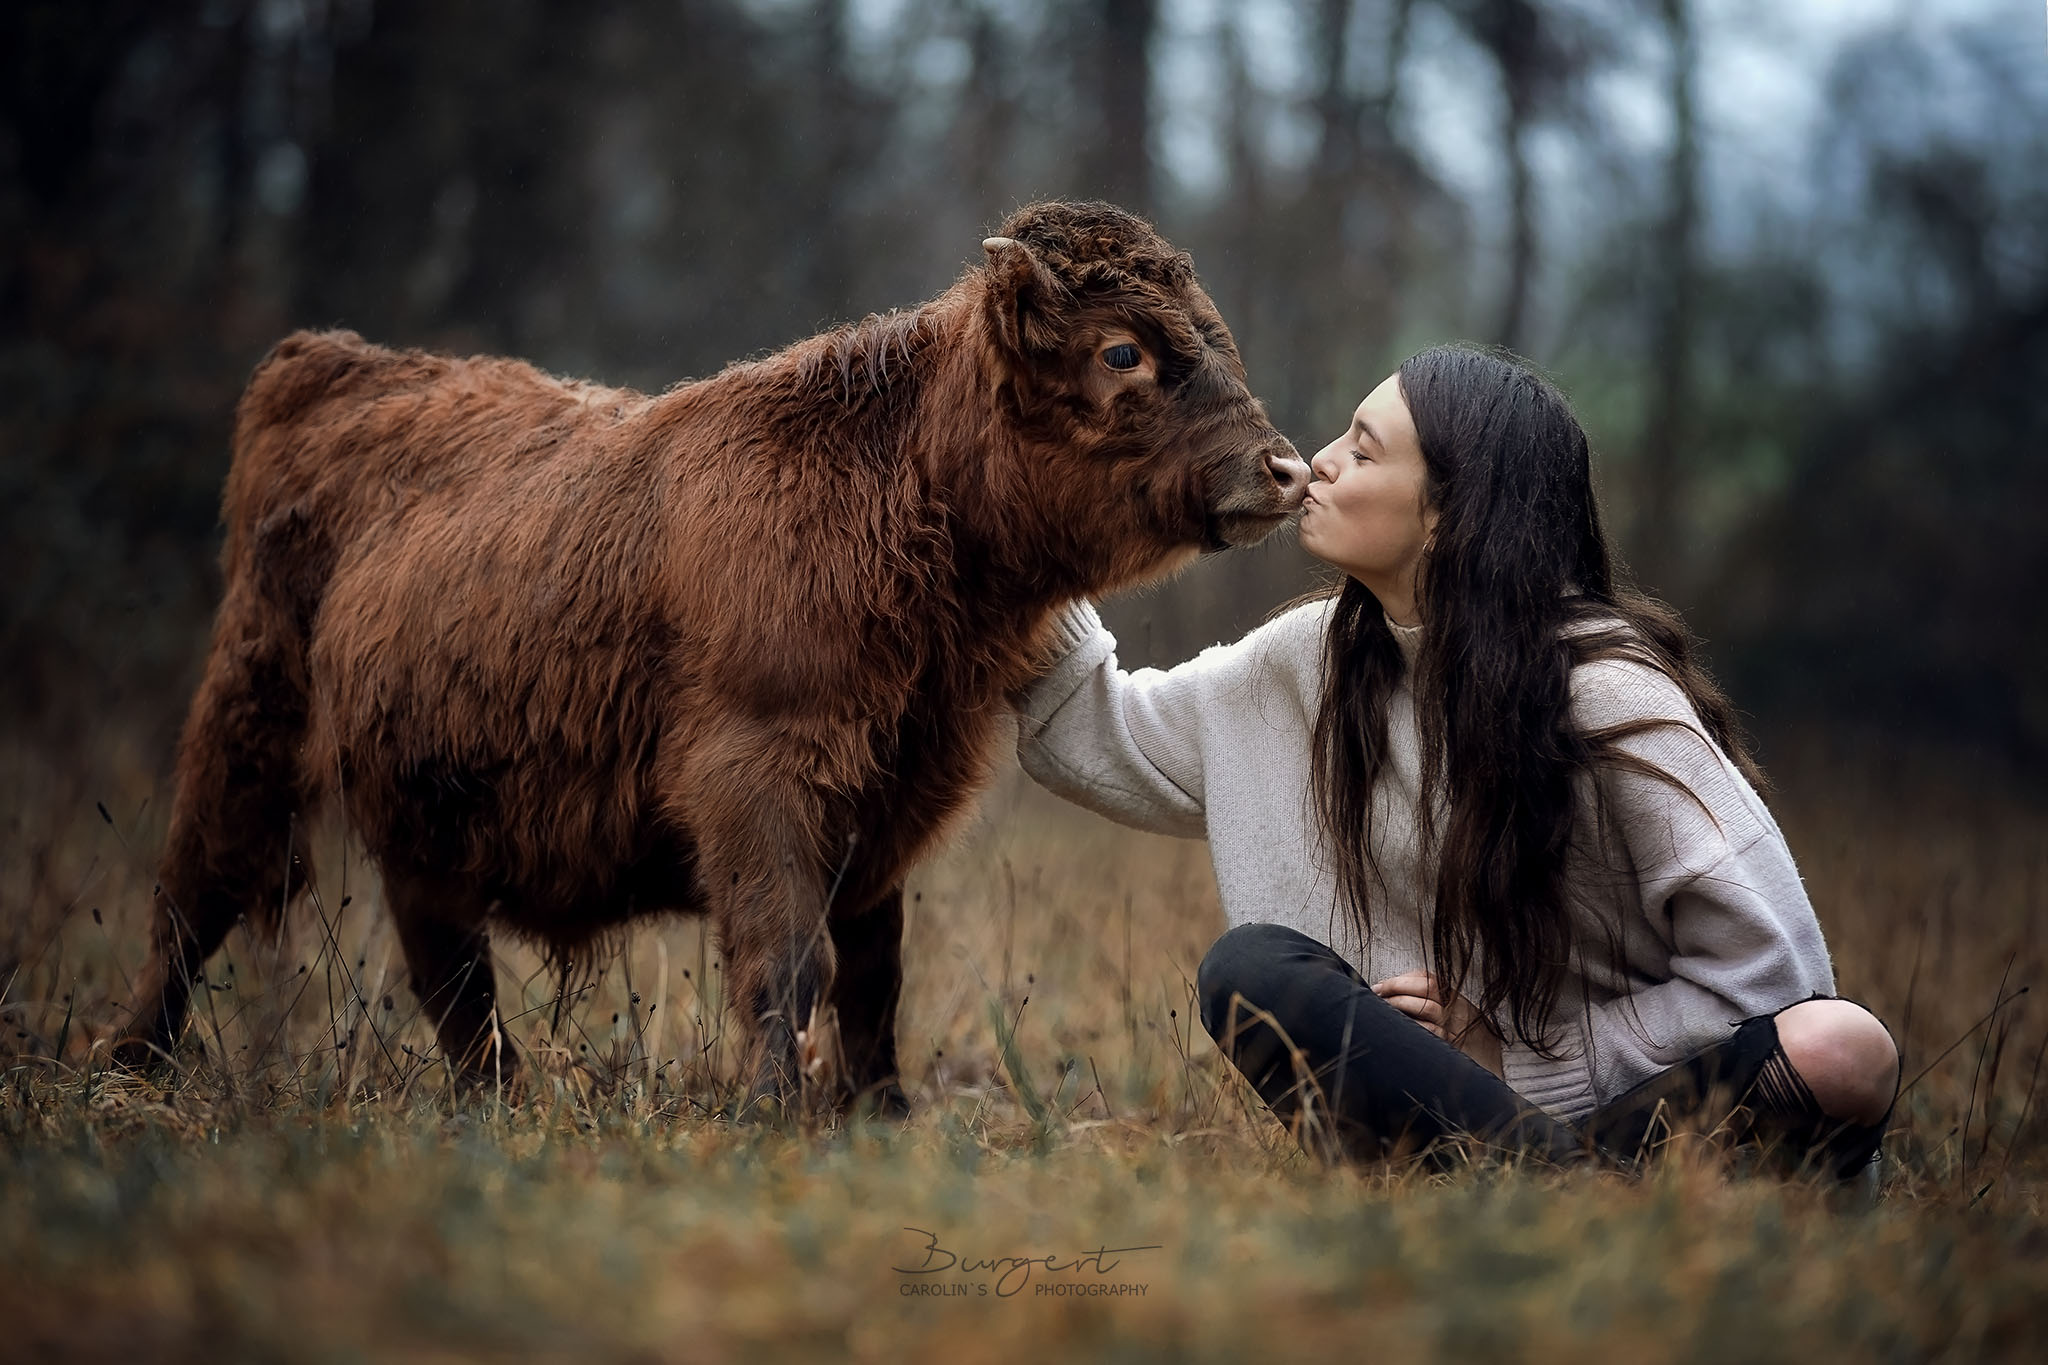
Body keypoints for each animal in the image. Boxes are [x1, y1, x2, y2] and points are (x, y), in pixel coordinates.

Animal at [112, 202, 1302, 1121]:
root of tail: (334, 359)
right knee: (192, 898)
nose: (1283, 468)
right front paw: (772, 1110)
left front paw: (880, 1112)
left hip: (419, 806)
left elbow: (874, 973)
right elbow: (790, 960)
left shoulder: (887, 801)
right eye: (1121, 350)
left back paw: (493, 1100)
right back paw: (125, 1072)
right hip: (247, 724)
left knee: (442, 961)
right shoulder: (755, 772)